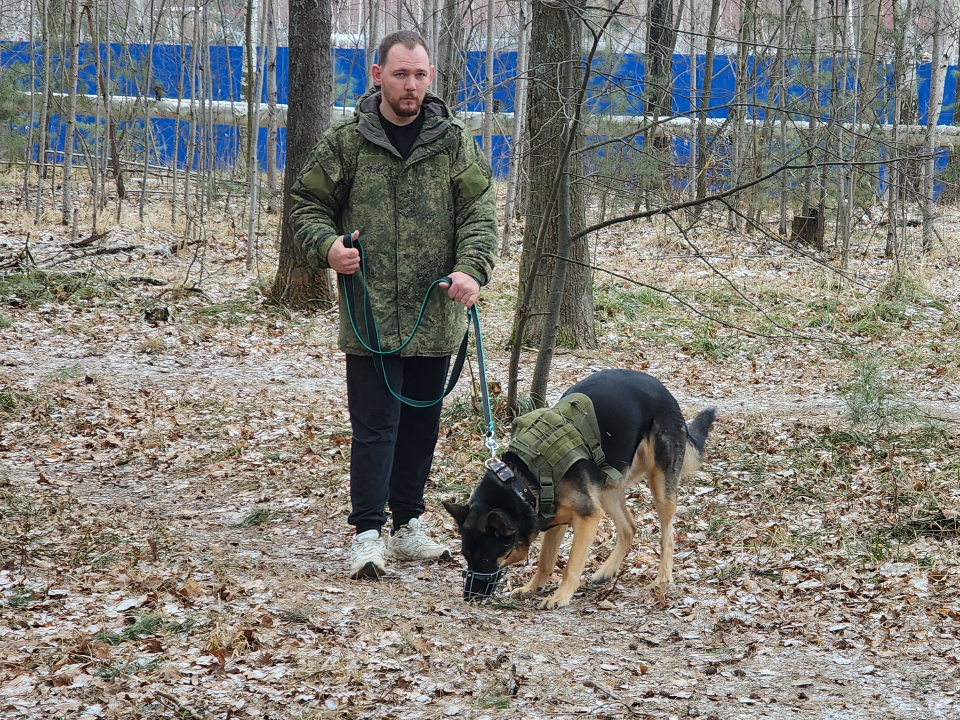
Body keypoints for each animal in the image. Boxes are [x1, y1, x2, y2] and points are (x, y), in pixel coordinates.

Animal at [442, 368, 712, 612]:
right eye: (465, 556)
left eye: (485, 559)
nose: (469, 597)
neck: (520, 482)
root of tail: (664, 390)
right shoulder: (556, 518)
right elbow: (546, 560)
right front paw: (532, 587)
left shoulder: (587, 517)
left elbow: (571, 565)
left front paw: (560, 597)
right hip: (607, 488)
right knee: (629, 527)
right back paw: (607, 570)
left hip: (659, 484)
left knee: (667, 533)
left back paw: (663, 577)